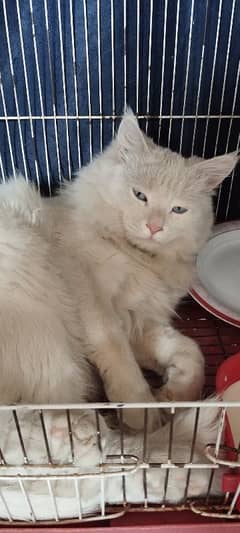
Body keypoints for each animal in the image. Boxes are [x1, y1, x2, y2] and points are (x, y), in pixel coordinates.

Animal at [0, 110, 237, 430]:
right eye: (140, 195)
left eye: (178, 210)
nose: (154, 227)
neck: (139, 258)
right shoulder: (97, 311)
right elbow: (122, 363)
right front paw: (143, 412)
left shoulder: (138, 321)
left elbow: (190, 352)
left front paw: (172, 393)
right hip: (54, 348)